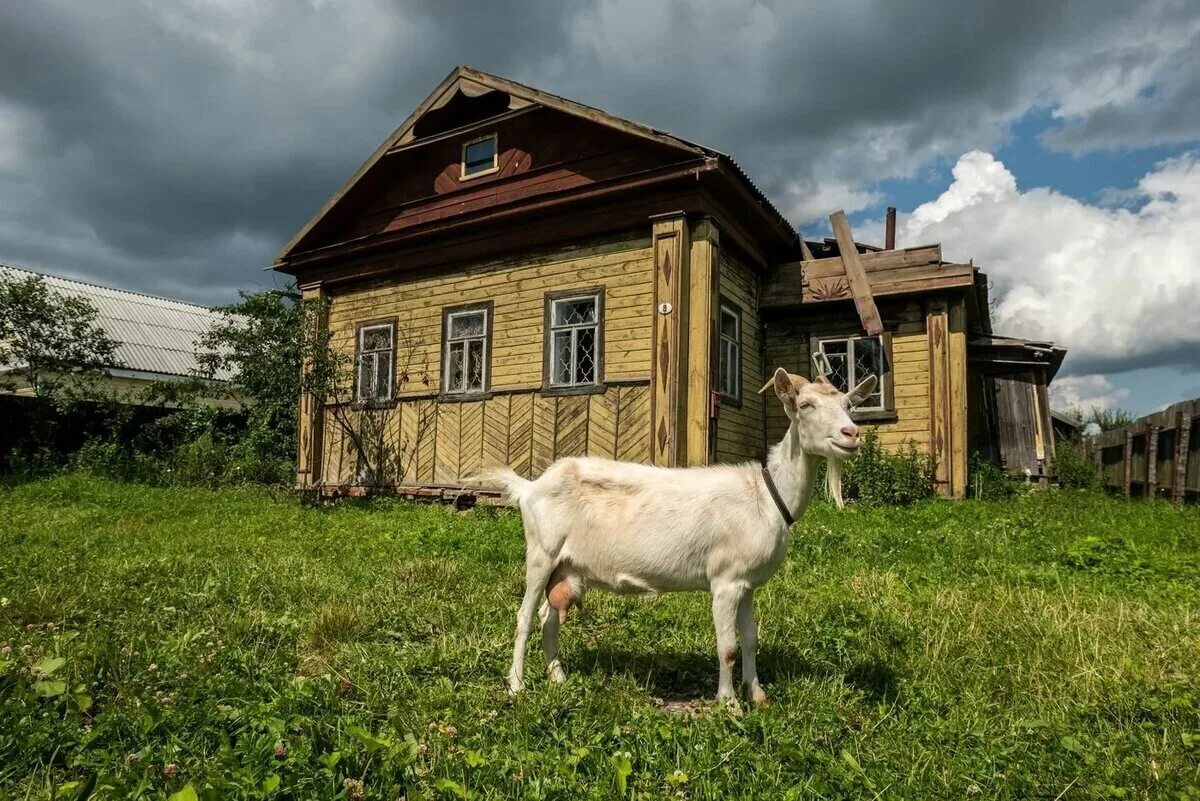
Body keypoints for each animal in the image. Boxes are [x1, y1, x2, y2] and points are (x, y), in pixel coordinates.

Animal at [480, 366, 883, 705]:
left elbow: (751, 640)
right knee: (525, 614)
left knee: (549, 616)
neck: (766, 495)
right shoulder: (725, 581)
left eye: (849, 405)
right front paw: (729, 705)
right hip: (541, 553)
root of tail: (531, 487)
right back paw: (517, 684)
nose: (852, 435)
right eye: (805, 405)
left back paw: (558, 677)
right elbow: (728, 647)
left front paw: (758, 697)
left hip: (565, 566)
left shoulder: (748, 584)